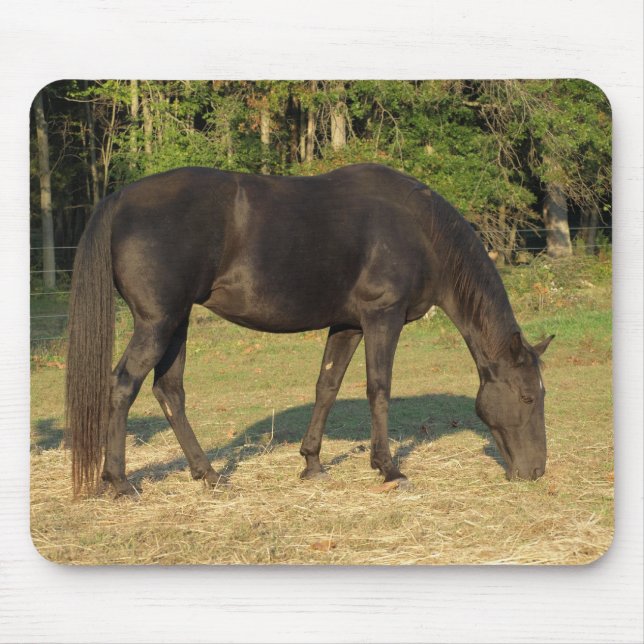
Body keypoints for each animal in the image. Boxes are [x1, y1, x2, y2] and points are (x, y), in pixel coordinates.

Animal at [66, 163, 553, 497]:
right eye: (528, 397)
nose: (536, 471)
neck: (419, 230)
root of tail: (119, 200)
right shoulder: (383, 317)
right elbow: (379, 388)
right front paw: (389, 468)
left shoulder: (348, 324)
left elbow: (328, 386)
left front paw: (312, 462)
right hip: (158, 323)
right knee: (123, 385)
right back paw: (119, 481)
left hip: (177, 322)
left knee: (169, 392)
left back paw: (209, 474)